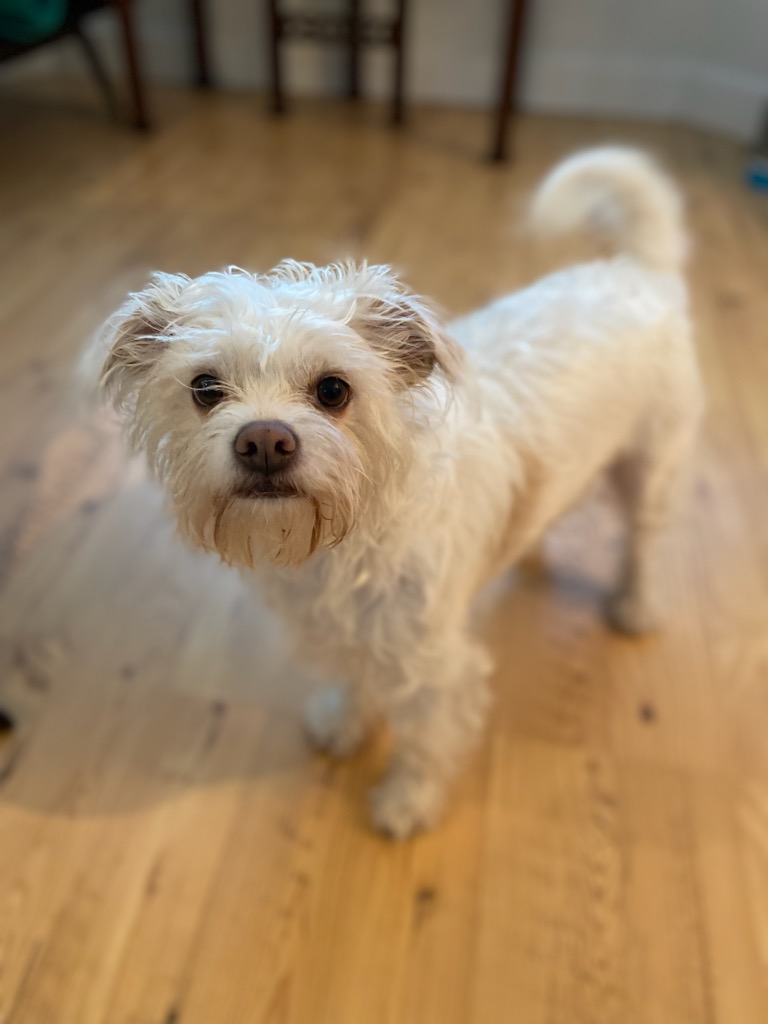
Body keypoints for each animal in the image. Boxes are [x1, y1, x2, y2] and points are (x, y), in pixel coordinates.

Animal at [99, 148, 708, 835]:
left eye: (333, 390)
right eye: (205, 388)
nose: (264, 441)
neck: (350, 537)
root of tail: (640, 270)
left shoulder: (433, 665)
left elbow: (425, 740)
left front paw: (407, 802)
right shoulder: (346, 634)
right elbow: (356, 682)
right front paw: (346, 725)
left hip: (650, 469)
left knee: (645, 542)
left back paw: (636, 605)